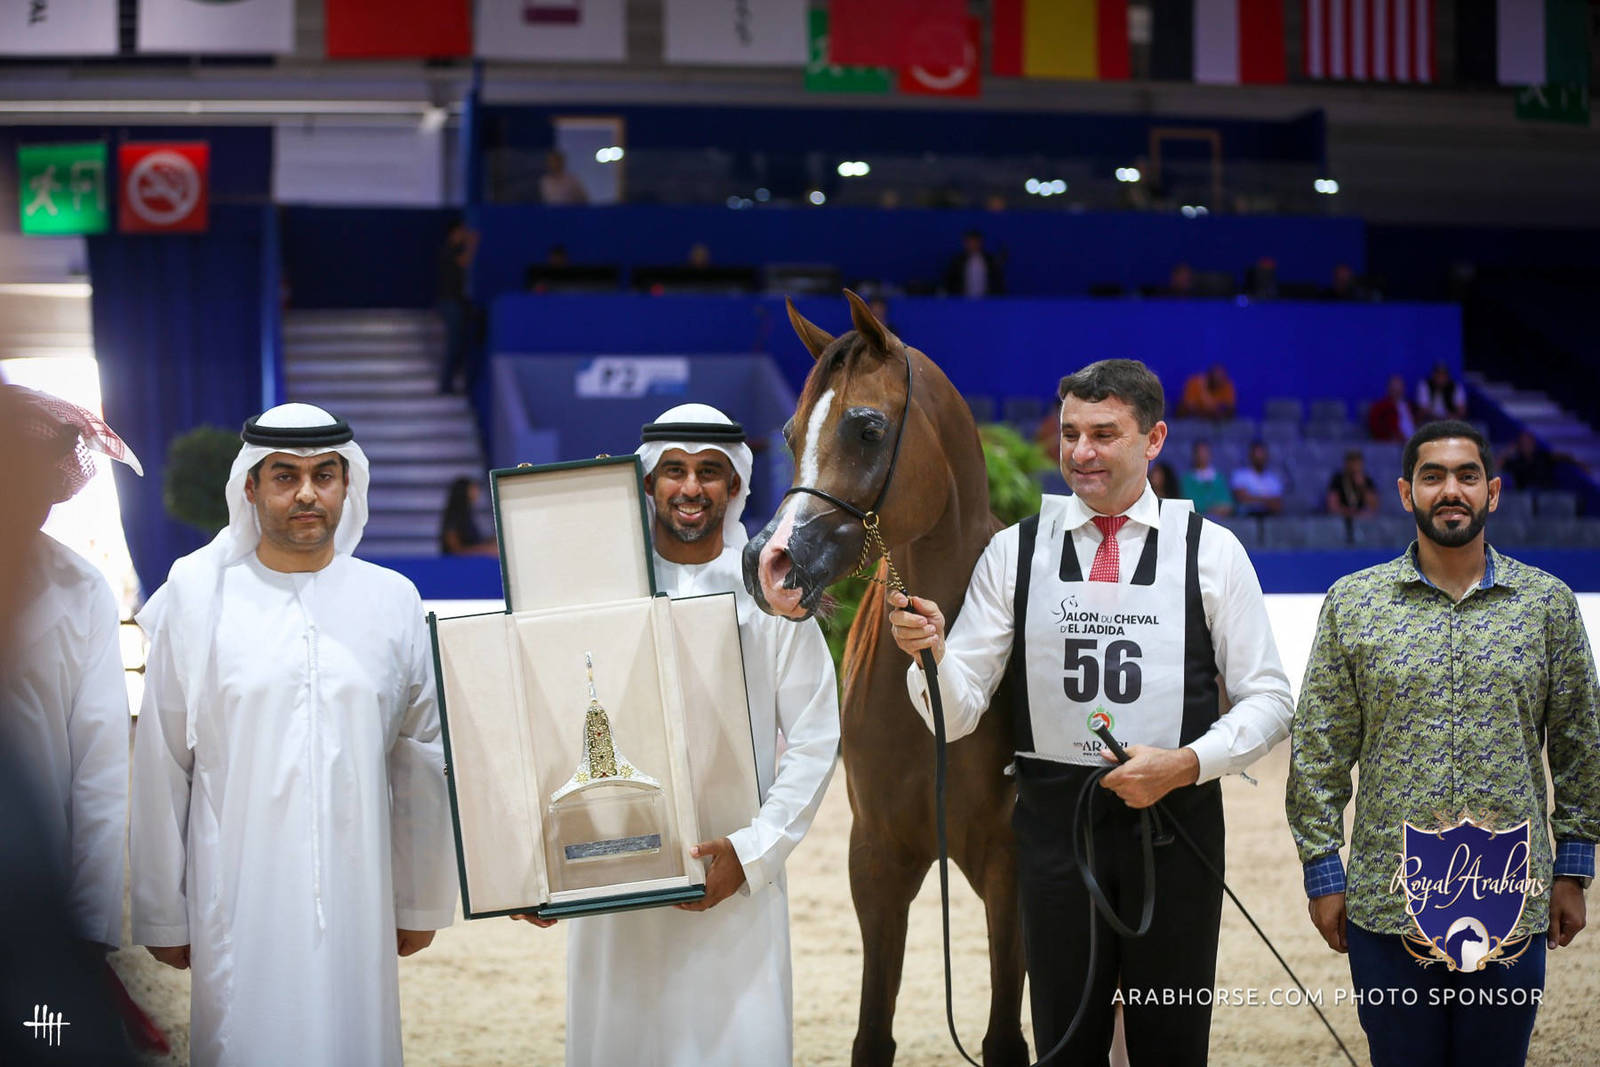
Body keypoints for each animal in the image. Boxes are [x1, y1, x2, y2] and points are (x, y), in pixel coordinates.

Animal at [742, 290, 1029, 1067]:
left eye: (867, 428)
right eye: (789, 433)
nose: (768, 563)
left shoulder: (1010, 870)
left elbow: (1004, 1038)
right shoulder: (875, 862)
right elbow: (872, 1034)